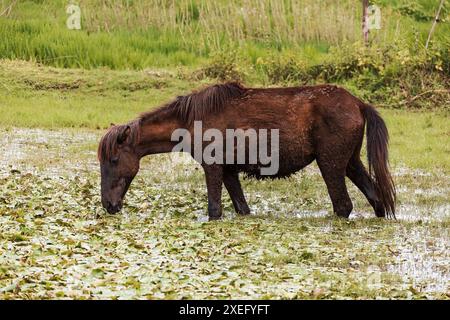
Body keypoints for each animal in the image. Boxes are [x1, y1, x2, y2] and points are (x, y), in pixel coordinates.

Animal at [97, 82, 394, 220]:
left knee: (343, 206)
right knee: (376, 198)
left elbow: (214, 210)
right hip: (351, 162)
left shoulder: (213, 168)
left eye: (114, 159)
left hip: (331, 164)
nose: (109, 205)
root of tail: (358, 103)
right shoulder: (229, 171)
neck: (191, 120)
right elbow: (242, 208)